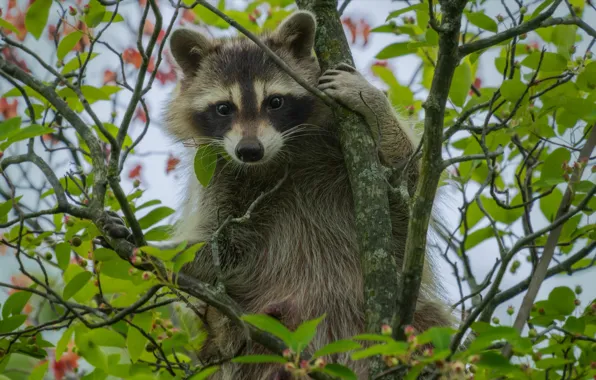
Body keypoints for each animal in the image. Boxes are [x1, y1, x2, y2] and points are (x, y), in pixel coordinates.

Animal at [163, 10, 452, 378]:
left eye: (275, 102)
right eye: (223, 108)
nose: (249, 151)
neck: (279, 157)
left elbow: (413, 187)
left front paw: (373, 104)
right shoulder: (219, 173)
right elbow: (222, 243)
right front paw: (163, 249)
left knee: (430, 321)